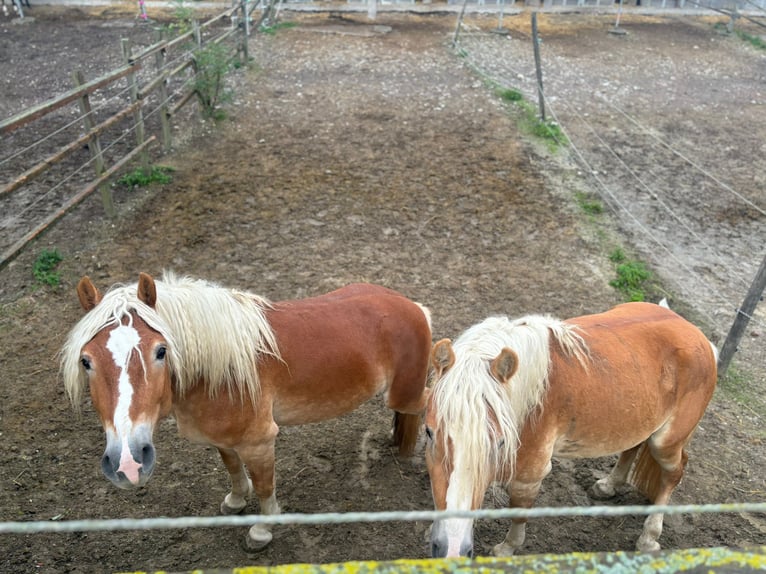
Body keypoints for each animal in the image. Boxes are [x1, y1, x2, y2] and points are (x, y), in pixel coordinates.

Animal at [61, 274, 432, 552]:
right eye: (86, 361)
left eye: (161, 351)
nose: (128, 464)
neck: (220, 372)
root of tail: (413, 307)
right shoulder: (222, 439)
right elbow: (232, 469)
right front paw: (236, 501)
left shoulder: (259, 443)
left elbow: (266, 487)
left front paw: (261, 531)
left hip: (404, 395)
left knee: (426, 405)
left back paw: (411, 451)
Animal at [426, 304, 720, 560]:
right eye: (429, 433)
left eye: (499, 443)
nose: (451, 550)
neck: (529, 396)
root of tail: (698, 335)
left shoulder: (530, 474)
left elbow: (519, 511)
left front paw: (507, 548)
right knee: (633, 447)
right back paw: (609, 485)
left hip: (665, 442)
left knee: (674, 474)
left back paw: (649, 538)